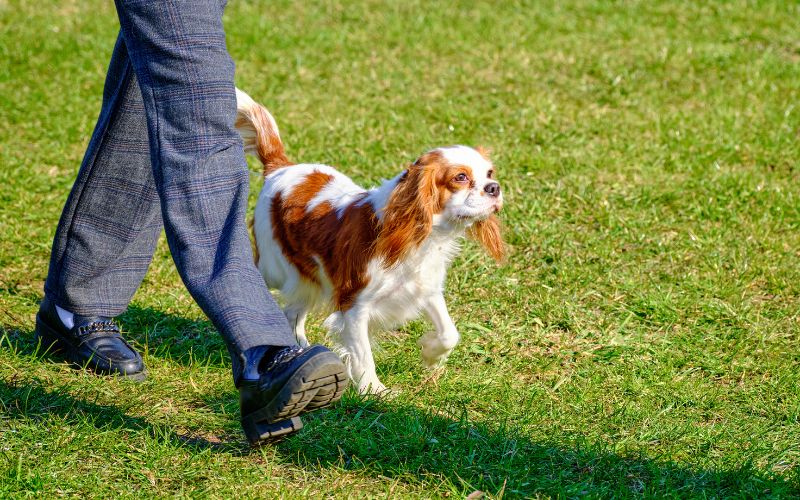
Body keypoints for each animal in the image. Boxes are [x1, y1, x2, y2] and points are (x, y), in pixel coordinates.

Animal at [234, 90, 504, 394]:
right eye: (460, 177)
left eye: (490, 174)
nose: (494, 188)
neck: (422, 239)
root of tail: (280, 167)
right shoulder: (354, 305)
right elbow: (363, 356)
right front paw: (375, 392)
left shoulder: (426, 289)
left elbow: (449, 332)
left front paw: (430, 353)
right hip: (274, 267)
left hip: (307, 279)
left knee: (292, 311)